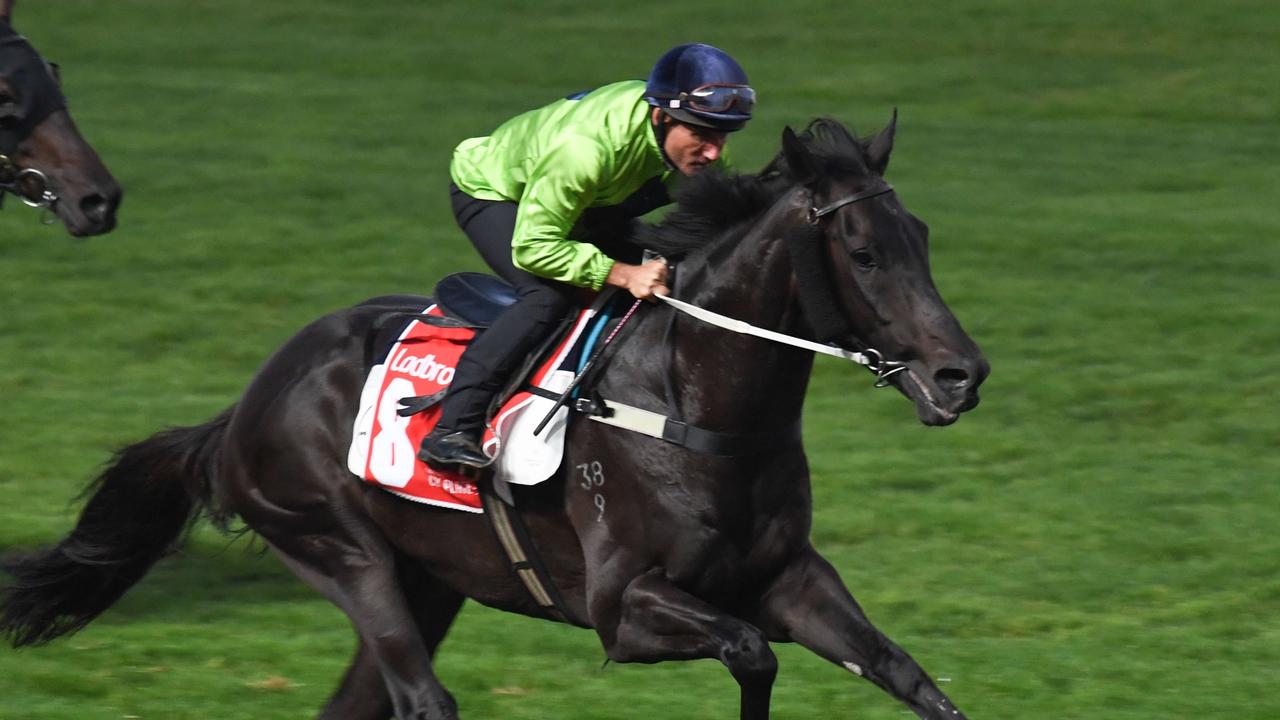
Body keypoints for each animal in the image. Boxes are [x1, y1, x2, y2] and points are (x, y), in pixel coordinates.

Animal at [0, 114, 988, 712]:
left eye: (922, 236)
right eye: (863, 252)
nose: (961, 376)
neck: (696, 407)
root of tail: (243, 409)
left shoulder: (788, 576)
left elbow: (904, 673)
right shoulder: (624, 608)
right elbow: (752, 653)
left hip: (429, 578)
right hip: (337, 550)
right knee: (421, 697)